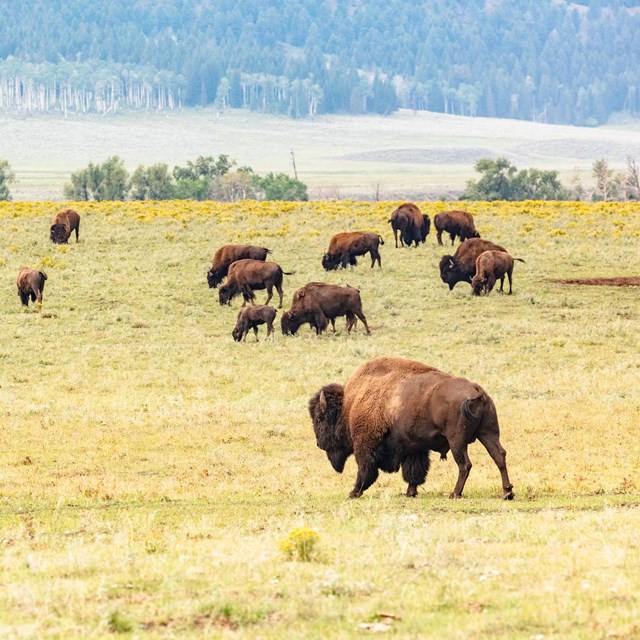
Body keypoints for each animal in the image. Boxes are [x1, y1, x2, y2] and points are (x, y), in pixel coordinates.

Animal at [309, 357, 514, 500]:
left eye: (320, 418)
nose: (318, 443)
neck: (349, 405)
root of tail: (477, 390)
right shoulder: (414, 448)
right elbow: (414, 471)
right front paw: (410, 492)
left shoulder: (365, 444)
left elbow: (365, 469)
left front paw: (353, 492)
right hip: (488, 433)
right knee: (499, 456)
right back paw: (507, 492)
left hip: (457, 441)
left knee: (465, 465)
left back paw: (455, 494)